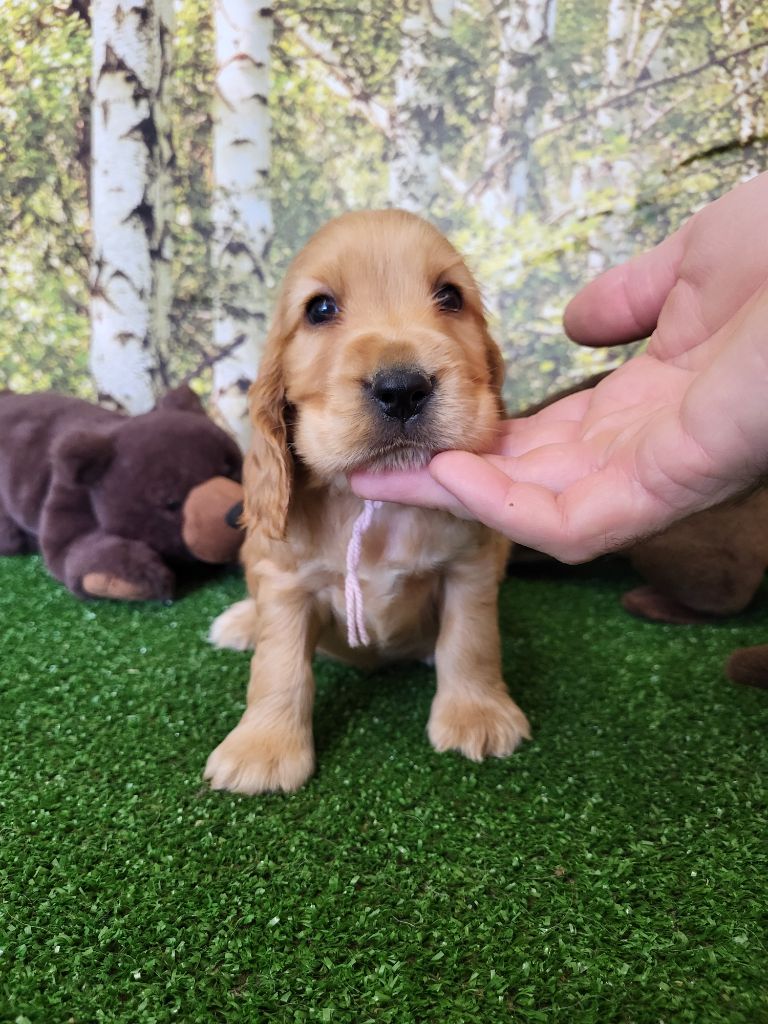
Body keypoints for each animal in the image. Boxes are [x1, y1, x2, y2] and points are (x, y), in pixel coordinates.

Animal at [205, 209, 530, 794]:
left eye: (451, 297)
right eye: (320, 309)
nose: (402, 389)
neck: (374, 509)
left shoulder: (470, 565)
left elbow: (470, 640)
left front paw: (477, 714)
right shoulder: (285, 581)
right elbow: (279, 665)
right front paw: (263, 748)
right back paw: (241, 622)